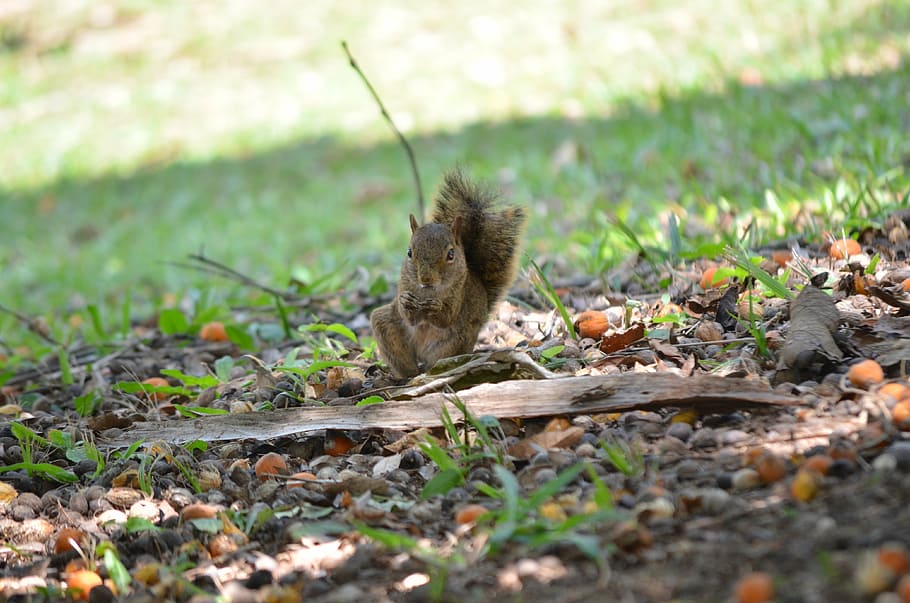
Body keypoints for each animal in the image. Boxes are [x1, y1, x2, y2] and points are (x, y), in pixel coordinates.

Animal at [370, 170, 527, 378]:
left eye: (451, 254)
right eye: (409, 252)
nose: (426, 278)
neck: (428, 291)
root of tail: (421, 354)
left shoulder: (459, 294)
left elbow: (446, 319)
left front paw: (435, 307)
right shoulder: (404, 284)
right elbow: (409, 317)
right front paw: (405, 301)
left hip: (455, 342)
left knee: (438, 360)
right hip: (386, 327)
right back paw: (410, 375)